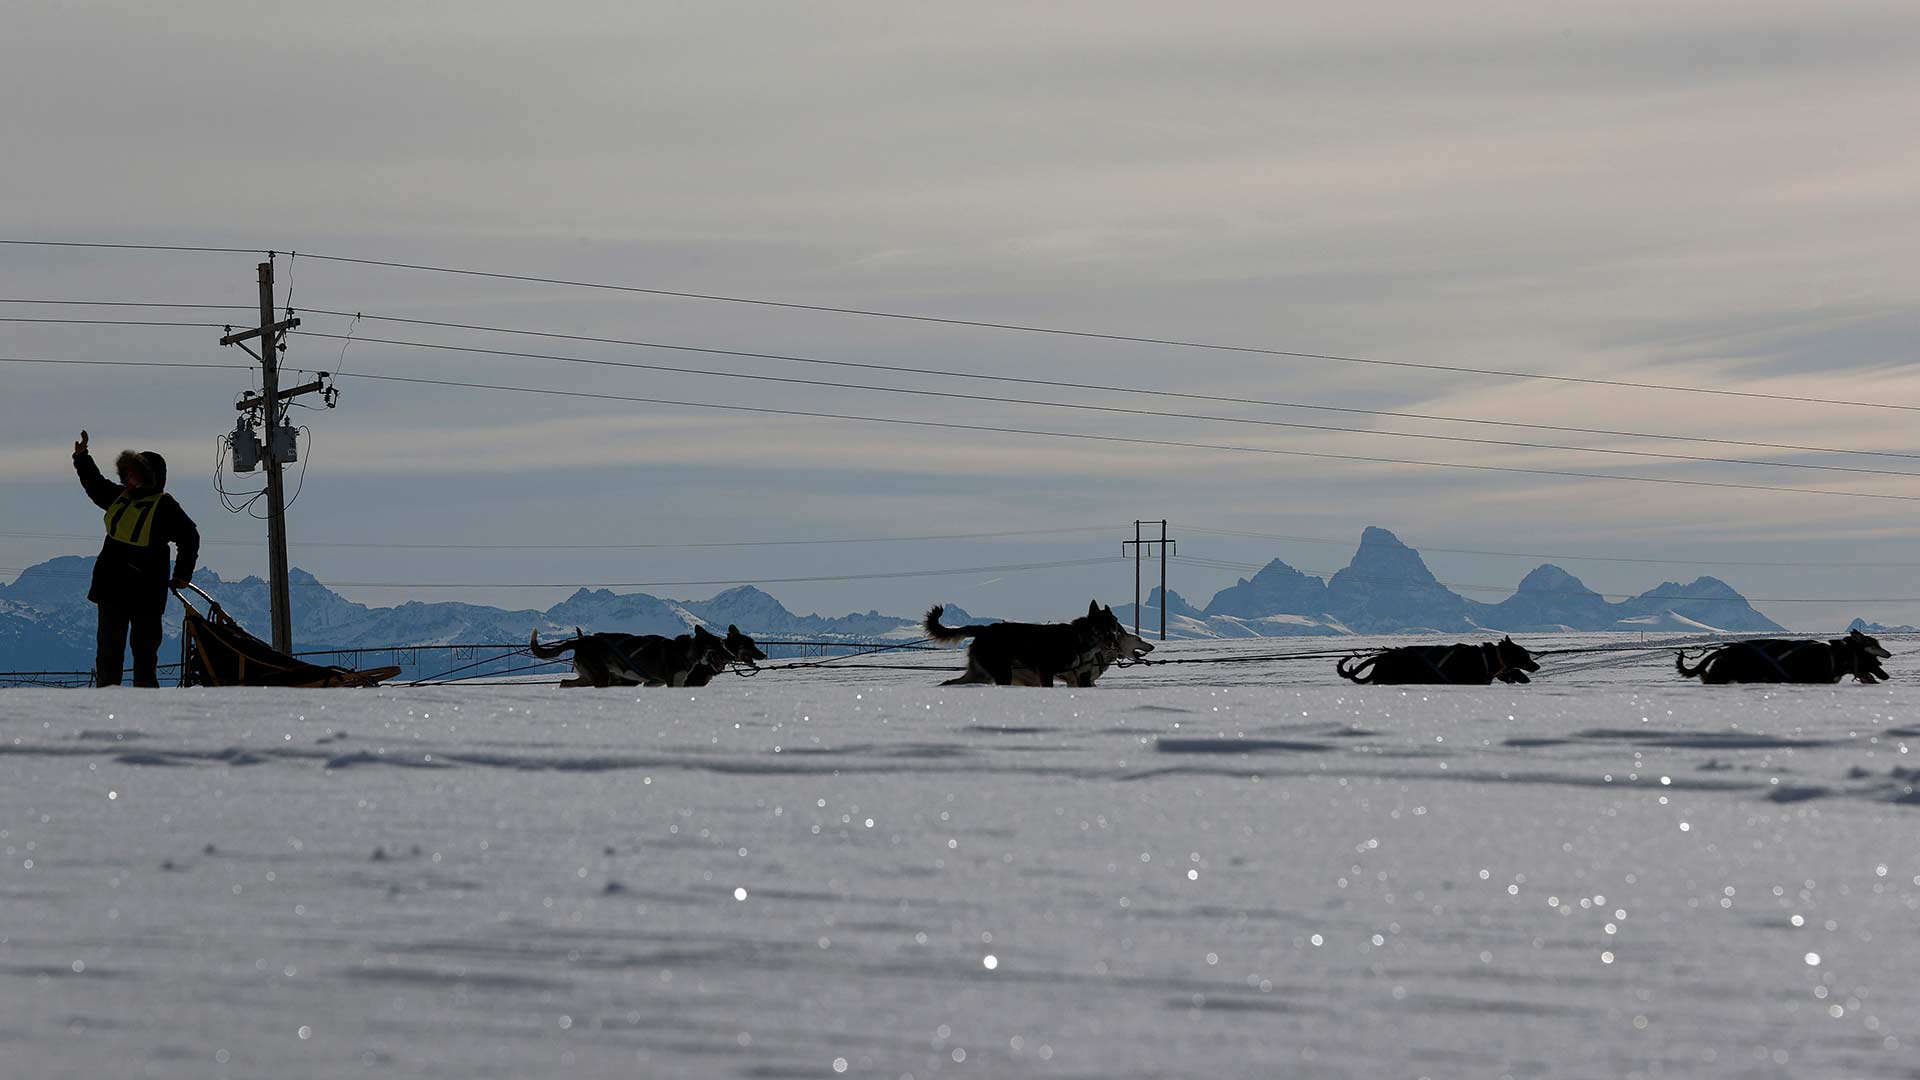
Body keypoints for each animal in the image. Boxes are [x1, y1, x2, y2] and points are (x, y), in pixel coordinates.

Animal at [921, 595, 1144, 680]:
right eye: (1106, 623)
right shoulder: (1046, 671)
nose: (1116, 636)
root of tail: (983, 630)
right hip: (1001, 672)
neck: (1078, 639)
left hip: (982, 673)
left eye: (1115, 621)